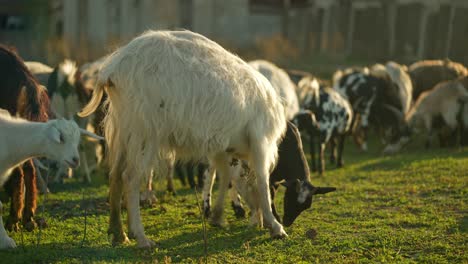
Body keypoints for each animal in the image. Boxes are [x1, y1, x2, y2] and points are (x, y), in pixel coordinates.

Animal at [77, 30, 288, 248]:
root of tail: (113, 70)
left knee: (116, 175)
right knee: (130, 177)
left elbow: (223, 177)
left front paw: (217, 216)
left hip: (124, 130)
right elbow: (262, 181)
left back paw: (118, 233)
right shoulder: (260, 141)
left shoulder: (221, 148)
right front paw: (276, 227)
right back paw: (142, 238)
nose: (258, 222)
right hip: (146, 132)